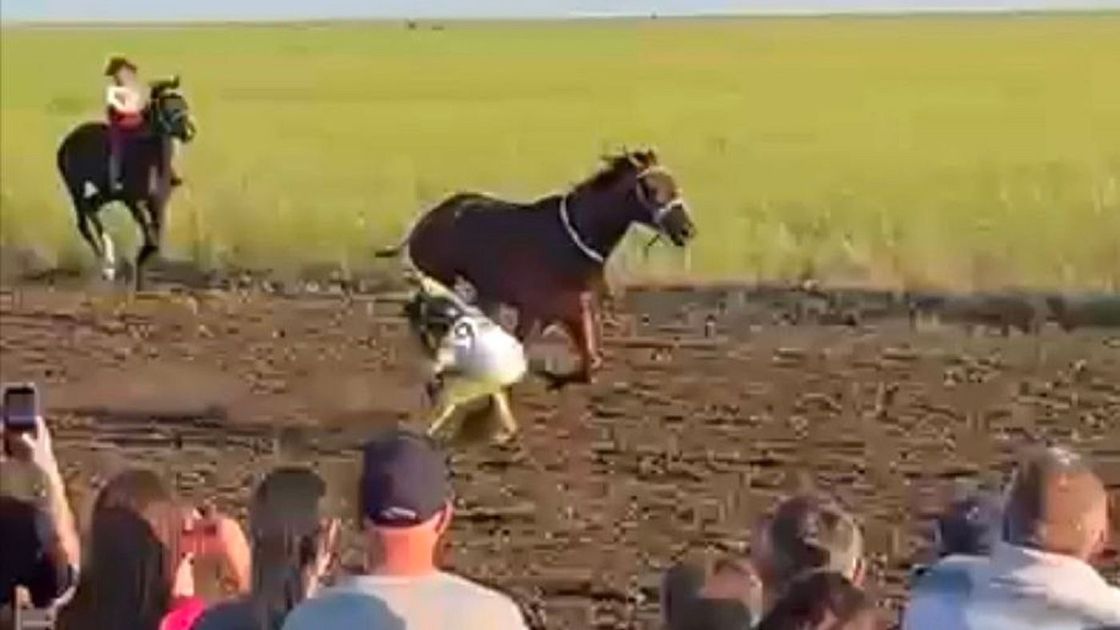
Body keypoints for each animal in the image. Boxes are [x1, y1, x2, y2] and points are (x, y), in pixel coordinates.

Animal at [56, 77, 196, 290]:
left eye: (183, 105)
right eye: (166, 107)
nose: (188, 132)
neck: (152, 161)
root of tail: (66, 142)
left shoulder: (157, 203)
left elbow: (154, 237)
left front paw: (141, 274)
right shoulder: (132, 201)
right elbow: (151, 238)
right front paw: (135, 267)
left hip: (104, 193)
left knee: (91, 208)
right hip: (76, 188)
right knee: (84, 222)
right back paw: (107, 265)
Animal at [377, 149, 697, 388]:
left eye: (673, 183)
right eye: (651, 189)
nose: (687, 230)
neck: (573, 236)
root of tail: (424, 220)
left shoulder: (569, 305)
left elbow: (585, 351)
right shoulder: (540, 305)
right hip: (442, 277)